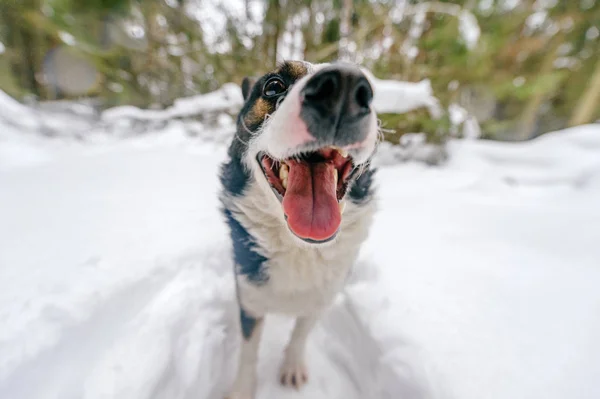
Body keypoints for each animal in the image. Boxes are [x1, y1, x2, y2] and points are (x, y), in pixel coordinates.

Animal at [220, 60, 380, 399]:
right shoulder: (249, 298)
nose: (345, 88)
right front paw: (242, 389)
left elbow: (300, 334)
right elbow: (249, 350)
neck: (299, 247)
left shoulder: (321, 297)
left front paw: (292, 367)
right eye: (273, 86)